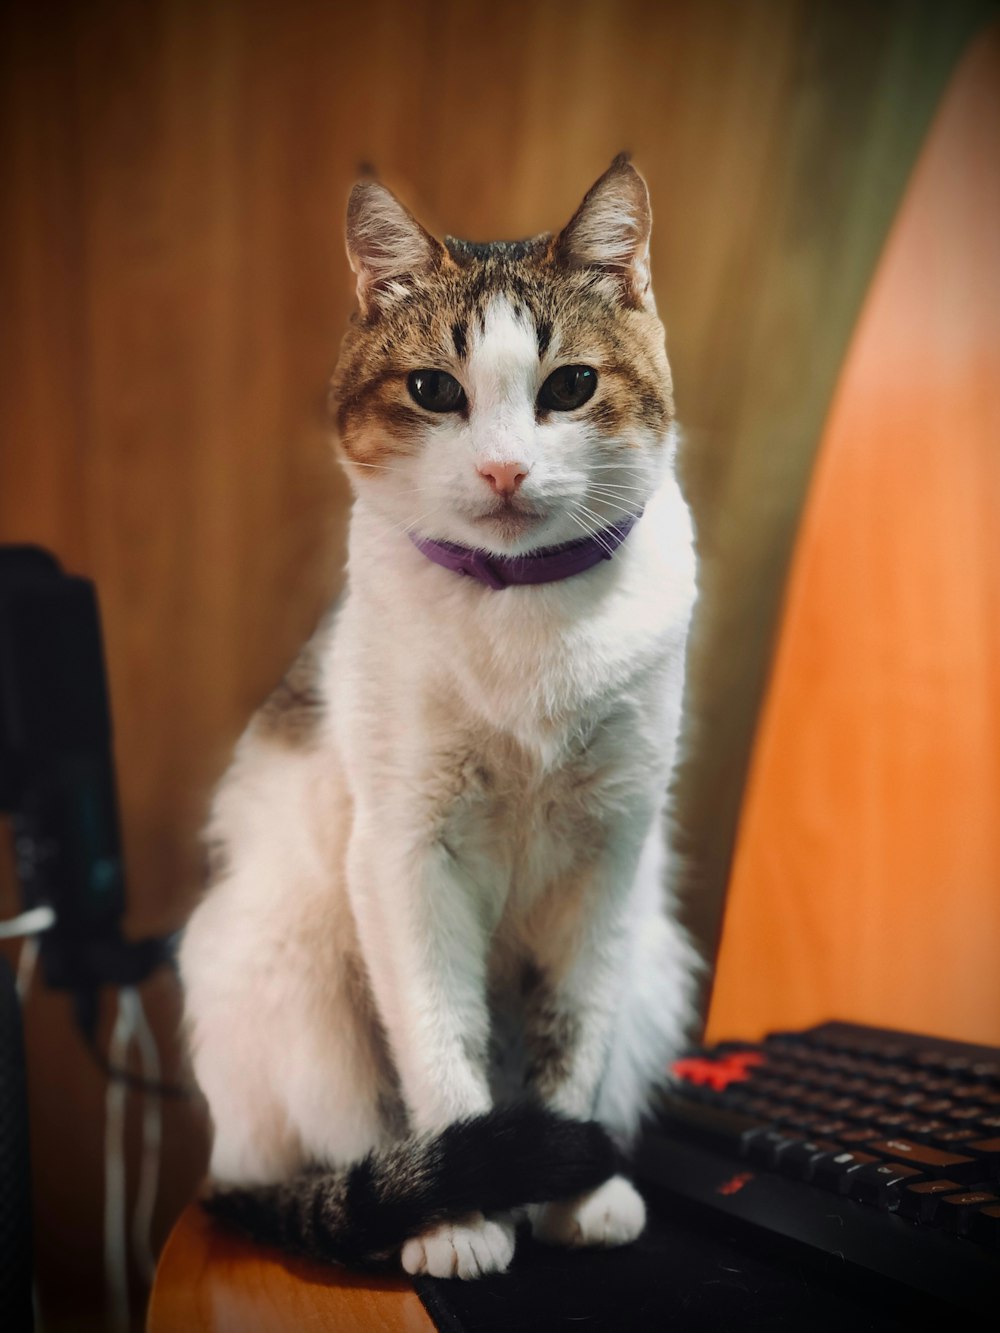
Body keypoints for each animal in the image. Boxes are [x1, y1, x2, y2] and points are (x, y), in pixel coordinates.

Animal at [180, 155, 698, 1279]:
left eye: (569, 386)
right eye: (433, 390)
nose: (503, 469)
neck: (524, 611)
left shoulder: (609, 854)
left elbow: (573, 1039)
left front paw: (577, 1186)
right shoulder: (408, 852)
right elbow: (440, 1046)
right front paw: (463, 1215)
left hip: (653, 958)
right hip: (295, 967)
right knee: (351, 1133)